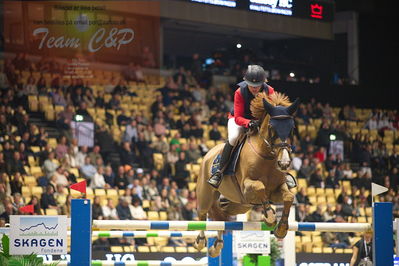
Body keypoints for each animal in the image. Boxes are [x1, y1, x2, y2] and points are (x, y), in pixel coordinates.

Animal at [194, 91, 300, 256]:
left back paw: (217, 246)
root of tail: (208, 154)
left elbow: (288, 196)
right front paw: (270, 217)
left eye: (292, 127)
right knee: (202, 213)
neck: (267, 156)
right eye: (272, 127)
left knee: (220, 215)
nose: (284, 163)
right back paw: (200, 242)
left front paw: (281, 228)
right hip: (206, 194)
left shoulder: (277, 189)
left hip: (239, 205)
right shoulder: (247, 187)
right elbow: (260, 187)